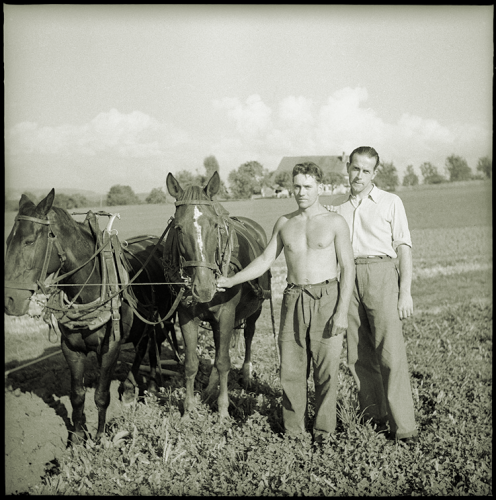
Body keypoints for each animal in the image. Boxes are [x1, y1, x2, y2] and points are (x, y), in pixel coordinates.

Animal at [4, 190, 176, 442]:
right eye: (8, 242)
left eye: (30, 241)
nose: (9, 300)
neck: (90, 287)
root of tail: (158, 240)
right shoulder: (70, 348)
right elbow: (77, 394)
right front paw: (76, 437)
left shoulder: (110, 348)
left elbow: (102, 395)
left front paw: (100, 437)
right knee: (144, 344)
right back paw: (129, 388)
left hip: (162, 319)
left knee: (153, 348)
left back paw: (150, 389)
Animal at [165, 171, 270, 418]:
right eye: (178, 228)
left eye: (215, 225)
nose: (204, 288)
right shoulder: (186, 316)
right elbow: (191, 363)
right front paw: (188, 410)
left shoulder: (227, 314)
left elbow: (224, 362)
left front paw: (223, 412)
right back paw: (210, 387)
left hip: (256, 308)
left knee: (248, 335)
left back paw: (246, 374)